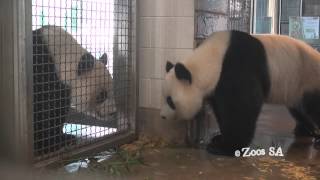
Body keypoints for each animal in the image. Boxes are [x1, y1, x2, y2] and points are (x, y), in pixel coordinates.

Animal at [31, 0, 132, 158]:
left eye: (113, 92)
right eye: (101, 95)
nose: (113, 112)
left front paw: (61, 138)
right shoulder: (44, 75)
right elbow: (44, 110)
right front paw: (51, 144)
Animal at [161, 30, 320, 156]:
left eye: (170, 101)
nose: (162, 116)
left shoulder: (239, 67)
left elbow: (242, 107)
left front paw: (224, 147)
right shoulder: (217, 85)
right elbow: (221, 109)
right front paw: (219, 138)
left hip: (309, 78)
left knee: (313, 107)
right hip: (297, 88)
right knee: (299, 110)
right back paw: (305, 130)